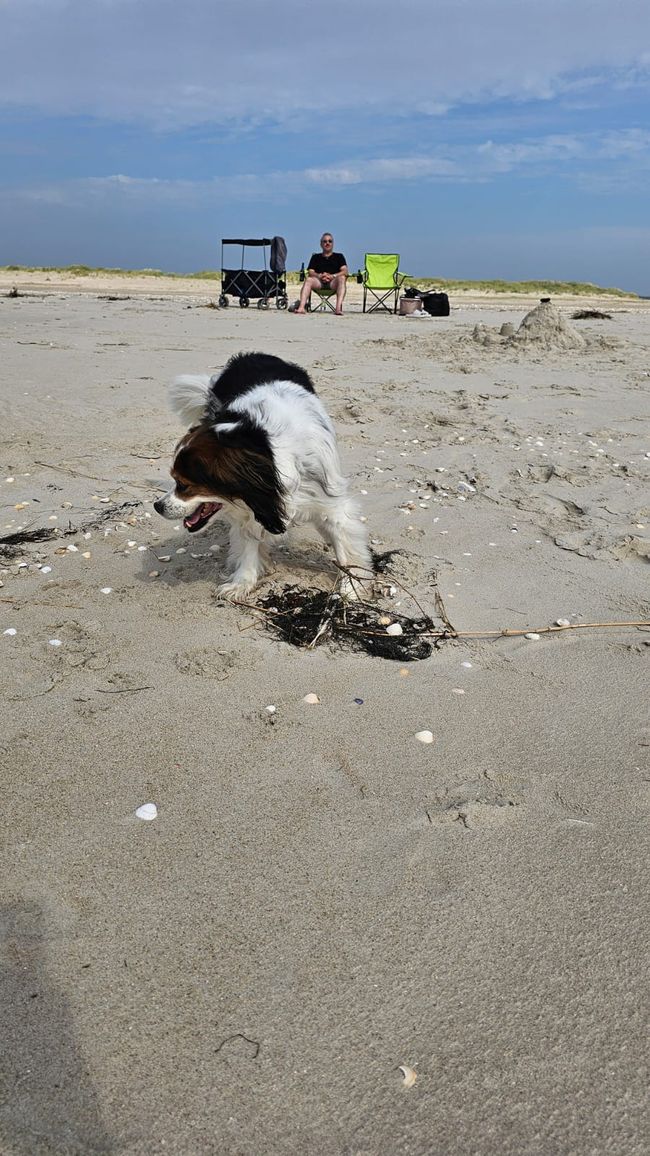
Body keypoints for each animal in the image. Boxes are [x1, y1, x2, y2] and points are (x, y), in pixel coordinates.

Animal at [152, 349, 372, 601]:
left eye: (184, 485)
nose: (157, 506)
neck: (268, 454)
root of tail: (253, 354)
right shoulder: (252, 508)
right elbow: (248, 543)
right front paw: (242, 582)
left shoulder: (330, 505)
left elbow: (345, 549)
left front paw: (351, 589)